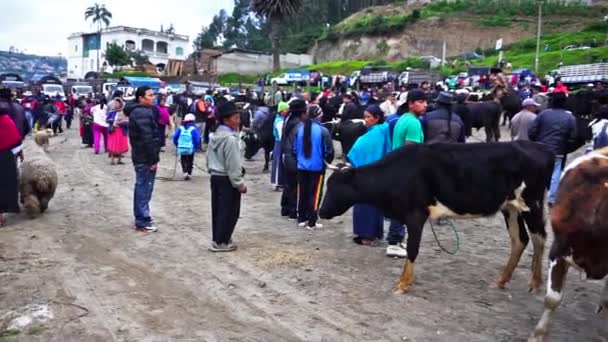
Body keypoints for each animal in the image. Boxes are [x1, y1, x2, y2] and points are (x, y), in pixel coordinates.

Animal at [320, 141, 552, 294]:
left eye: (335, 186)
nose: (321, 212)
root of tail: (539, 147)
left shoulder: (415, 215)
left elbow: (412, 249)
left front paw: (403, 284)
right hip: (510, 207)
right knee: (520, 239)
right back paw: (503, 280)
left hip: (531, 203)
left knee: (539, 237)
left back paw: (536, 283)